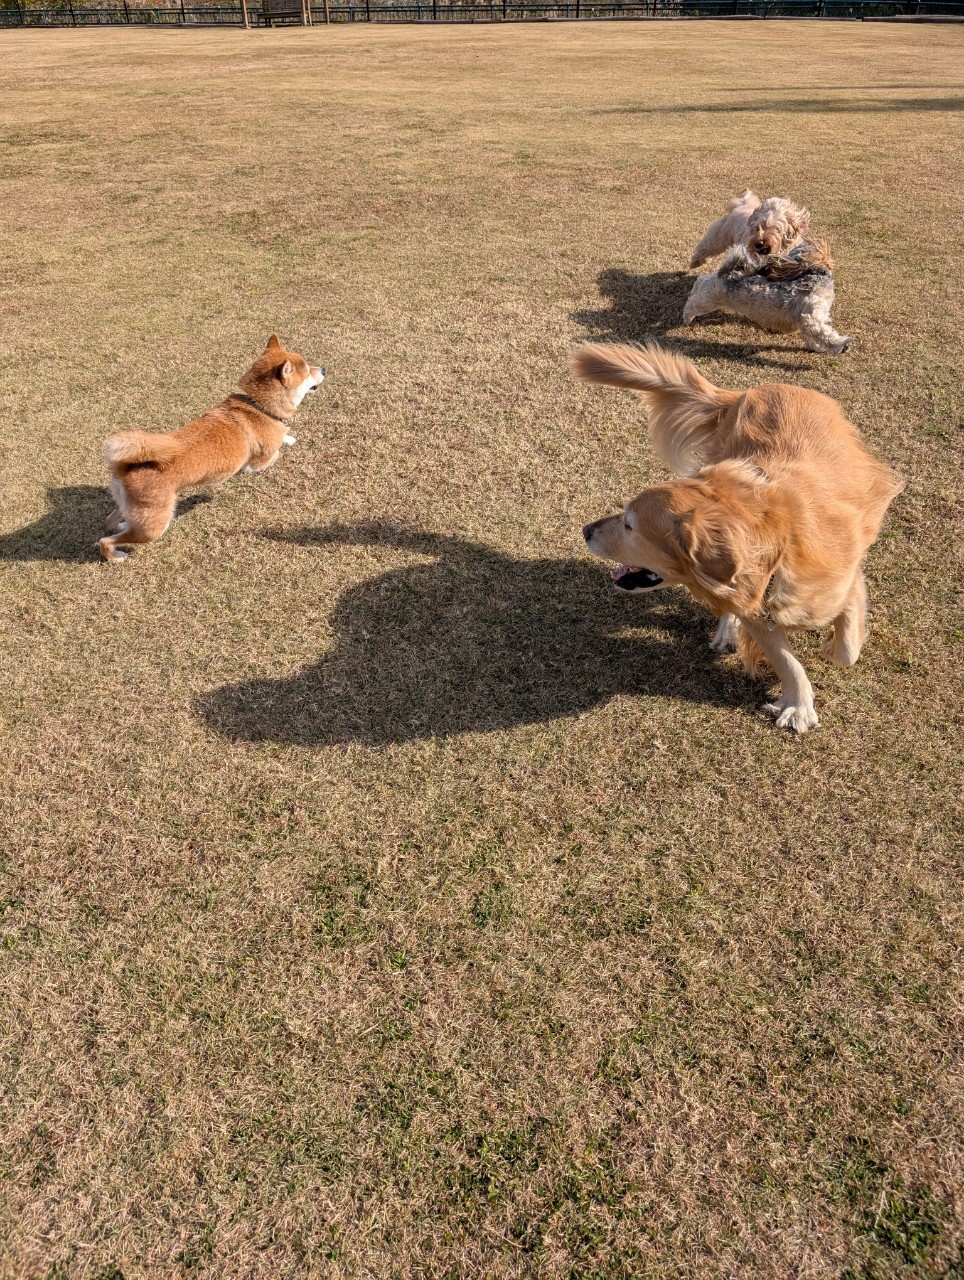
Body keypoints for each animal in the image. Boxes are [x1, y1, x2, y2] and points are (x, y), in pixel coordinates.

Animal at [99, 335, 324, 563]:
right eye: (307, 372)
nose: (323, 369)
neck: (258, 405)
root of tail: (125, 468)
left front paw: (288, 437)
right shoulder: (259, 462)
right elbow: (273, 454)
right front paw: (284, 440)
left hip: (131, 507)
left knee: (110, 522)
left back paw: (121, 524)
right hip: (154, 527)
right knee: (105, 541)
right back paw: (116, 556)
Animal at [573, 343, 902, 733]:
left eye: (629, 525)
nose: (586, 530)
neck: (778, 551)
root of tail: (753, 390)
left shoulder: (847, 581)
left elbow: (847, 649)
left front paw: (828, 649)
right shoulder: (755, 611)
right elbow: (786, 659)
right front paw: (798, 705)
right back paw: (727, 632)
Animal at [683, 241, 851, 354]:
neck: (813, 276)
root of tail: (727, 273)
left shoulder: (804, 321)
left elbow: (812, 336)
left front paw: (817, 347)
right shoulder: (811, 317)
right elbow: (824, 333)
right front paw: (842, 343)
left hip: (710, 293)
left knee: (702, 279)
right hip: (709, 300)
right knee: (694, 301)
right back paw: (687, 317)